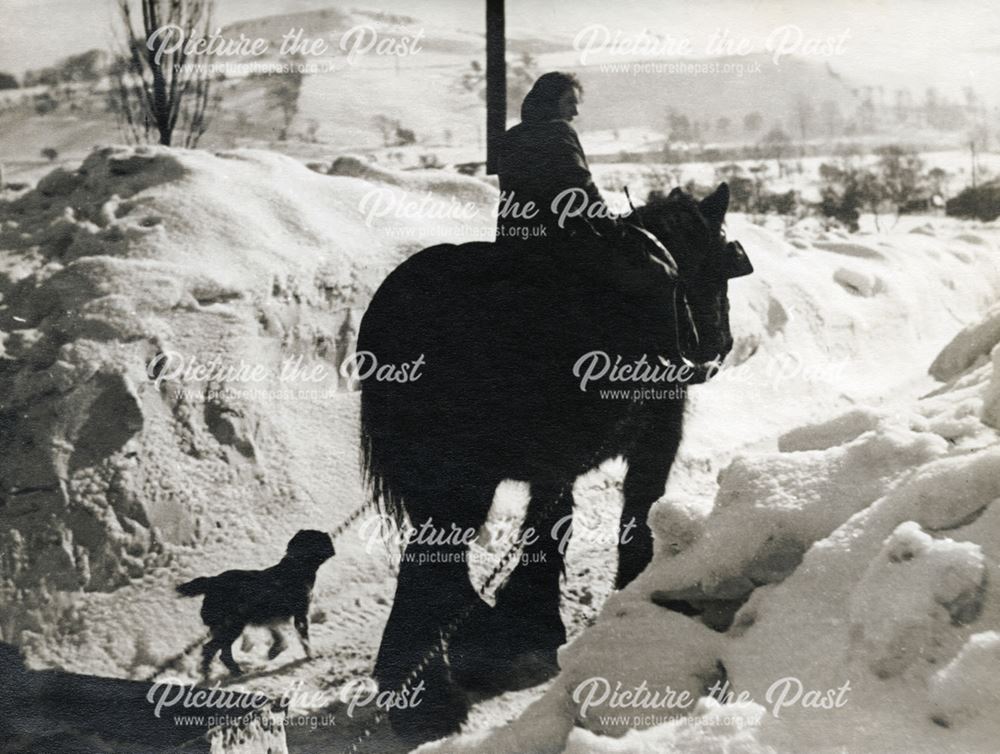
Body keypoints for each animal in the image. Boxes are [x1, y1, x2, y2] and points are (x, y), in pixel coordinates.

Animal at [177, 528, 336, 676]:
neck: (297, 566)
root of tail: (212, 582)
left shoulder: (269, 617)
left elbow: (279, 638)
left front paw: (274, 652)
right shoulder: (300, 615)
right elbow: (304, 641)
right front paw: (311, 657)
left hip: (227, 627)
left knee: (218, 652)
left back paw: (224, 672)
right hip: (233, 625)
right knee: (213, 650)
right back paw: (219, 673)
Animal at [354, 181, 752, 740]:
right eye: (719, 266)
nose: (719, 345)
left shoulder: (553, 466)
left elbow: (549, 524)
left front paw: (526, 624)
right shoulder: (656, 440)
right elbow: (636, 516)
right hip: (460, 483)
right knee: (431, 565)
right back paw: (427, 699)